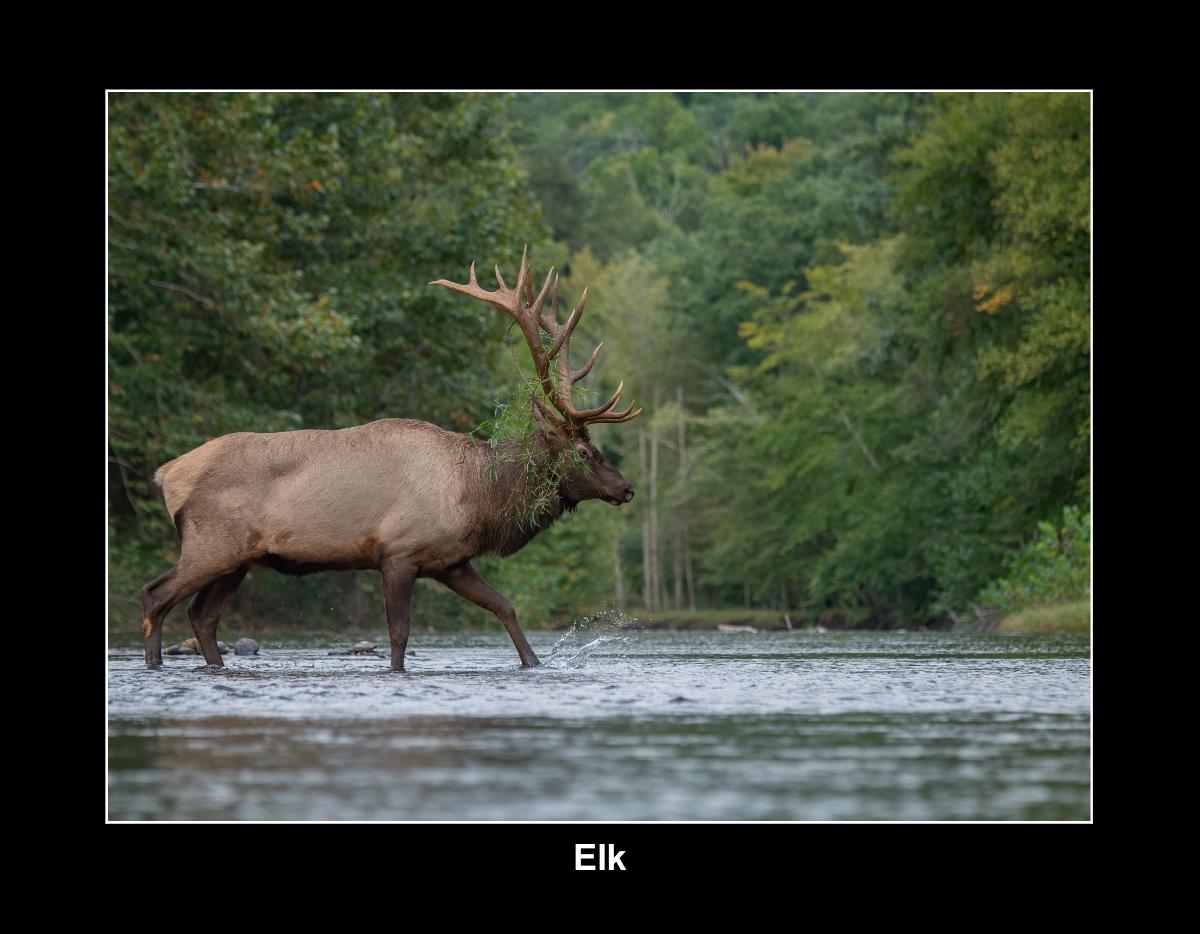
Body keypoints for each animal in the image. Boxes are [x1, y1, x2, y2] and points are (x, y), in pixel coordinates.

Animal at [140, 249, 643, 667]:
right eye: (584, 450)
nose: (626, 487)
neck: (476, 497)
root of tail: (168, 474)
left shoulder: (450, 560)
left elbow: (504, 605)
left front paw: (533, 663)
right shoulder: (399, 552)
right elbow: (398, 635)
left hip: (239, 559)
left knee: (201, 616)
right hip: (211, 544)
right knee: (154, 595)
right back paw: (155, 664)